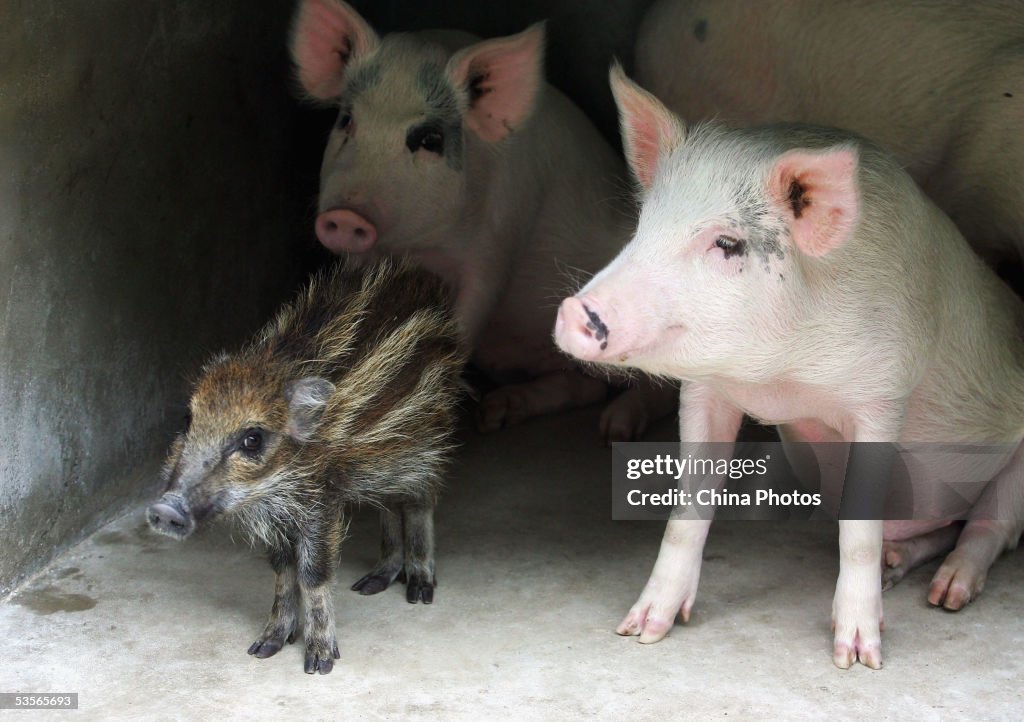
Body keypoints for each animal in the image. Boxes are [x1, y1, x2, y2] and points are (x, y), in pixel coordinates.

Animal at [288, 0, 675, 438]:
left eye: (429, 139)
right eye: (346, 121)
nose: (344, 215)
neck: (422, 250)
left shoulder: (500, 239)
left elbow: (466, 320)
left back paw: (615, 430)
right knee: (584, 385)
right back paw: (499, 412)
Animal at [557, 67, 1024, 671]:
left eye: (727, 243)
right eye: (642, 227)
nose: (574, 312)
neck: (781, 381)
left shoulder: (883, 395)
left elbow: (858, 529)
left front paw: (857, 659)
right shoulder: (705, 390)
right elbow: (689, 506)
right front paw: (641, 631)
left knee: (991, 528)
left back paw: (948, 595)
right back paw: (899, 563)